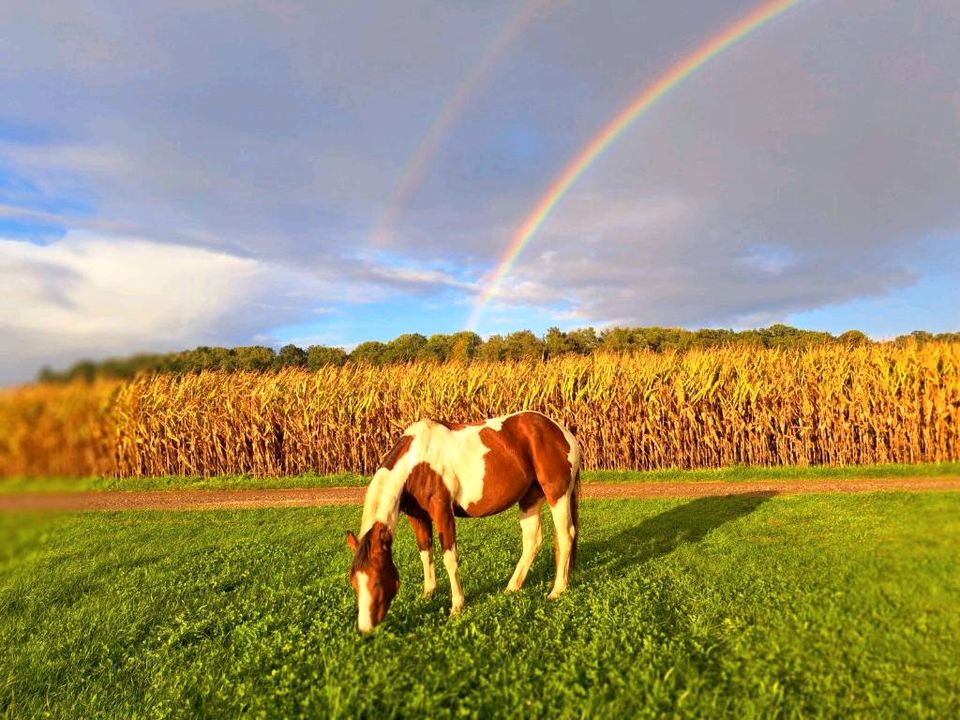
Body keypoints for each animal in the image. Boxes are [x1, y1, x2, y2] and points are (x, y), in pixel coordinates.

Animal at [348, 410, 580, 632]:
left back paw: (556, 590)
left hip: (557, 495)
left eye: (377, 581)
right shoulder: (417, 516)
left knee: (565, 536)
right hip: (529, 499)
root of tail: (562, 431)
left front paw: (457, 606)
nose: (366, 628)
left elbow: (449, 558)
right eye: (354, 582)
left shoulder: (442, 512)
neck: (417, 462)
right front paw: (428, 594)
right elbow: (425, 553)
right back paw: (512, 587)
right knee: (533, 541)